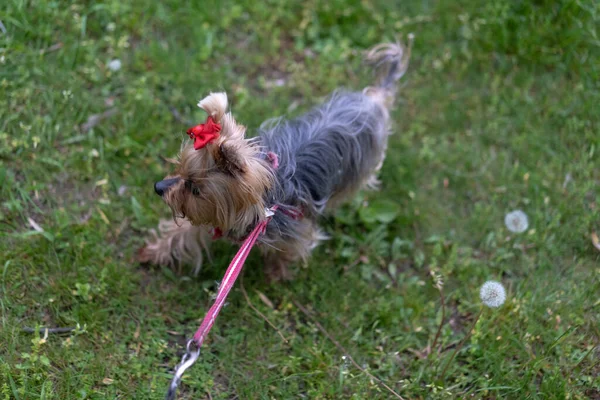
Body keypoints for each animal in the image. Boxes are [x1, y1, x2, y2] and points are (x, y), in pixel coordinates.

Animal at [141, 37, 412, 282]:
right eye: (179, 167)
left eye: (196, 189)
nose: (158, 187)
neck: (267, 200)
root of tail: (374, 98)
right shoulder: (209, 215)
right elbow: (183, 232)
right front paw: (153, 251)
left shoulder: (293, 229)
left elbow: (290, 249)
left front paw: (277, 273)